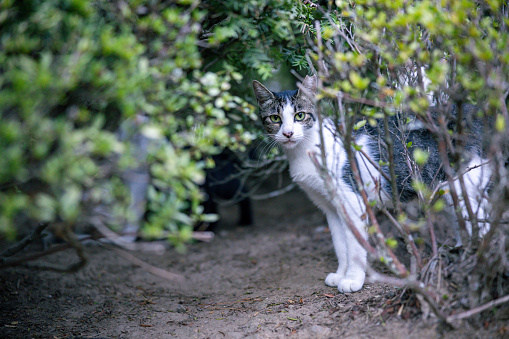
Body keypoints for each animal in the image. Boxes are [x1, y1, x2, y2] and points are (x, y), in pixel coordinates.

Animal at [252, 75, 490, 294]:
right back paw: (457, 253)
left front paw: (353, 279)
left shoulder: (352, 200)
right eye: (275, 118)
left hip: (464, 184)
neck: (306, 151)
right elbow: (341, 245)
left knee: (482, 224)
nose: (288, 133)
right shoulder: (331, 208)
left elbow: (356, 247)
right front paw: (340, 274)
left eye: (299, 115)